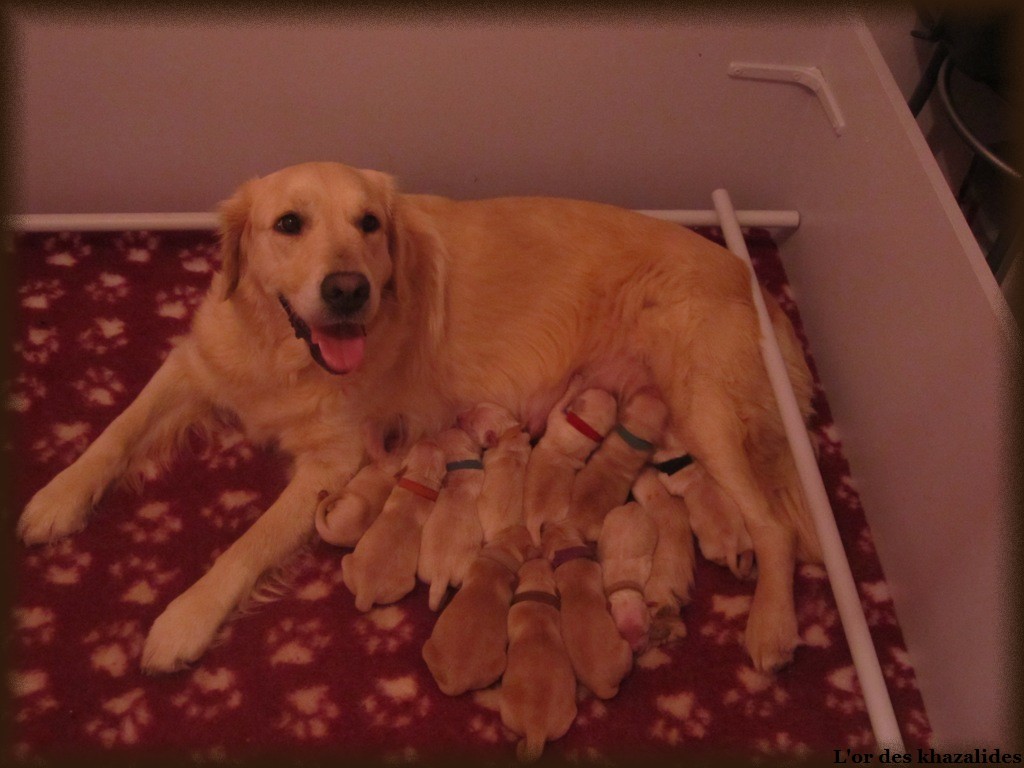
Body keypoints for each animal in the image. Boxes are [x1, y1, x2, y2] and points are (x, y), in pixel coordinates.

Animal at [523, 384, 618, 545]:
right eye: (608, 395)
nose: (614, 394)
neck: (585, 429)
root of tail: (535, 519)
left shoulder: (556, 415)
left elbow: (563, 400)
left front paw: (576, 382)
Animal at [597, 501, 659, 653]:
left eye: (645, 631)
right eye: (622, 634)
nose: (635, 650)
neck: (624, 589)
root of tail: (632, 504)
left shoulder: (645, 566)